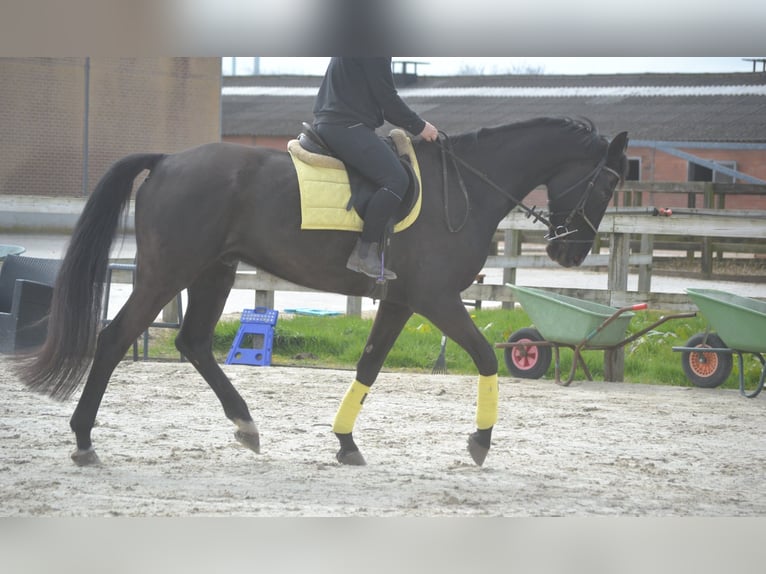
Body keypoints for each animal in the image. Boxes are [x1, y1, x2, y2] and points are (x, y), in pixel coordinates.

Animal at [18, 116, 628, 467]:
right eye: (609, 183)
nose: (571, 254)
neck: (467, 188)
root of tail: (167, 161)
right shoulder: (435, 299)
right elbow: (484, 356)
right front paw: (480, 442)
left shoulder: (402, 301)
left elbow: (369, 365)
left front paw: (346, 443)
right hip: (168, 273)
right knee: (114, 338)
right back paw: (83, 441)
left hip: (214, 271)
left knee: (192, 343)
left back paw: (245, 425)